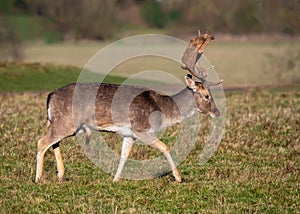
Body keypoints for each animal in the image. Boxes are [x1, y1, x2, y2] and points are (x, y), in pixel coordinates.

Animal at [36, 30, 221, 184]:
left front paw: (115, 180)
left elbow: (124, 155)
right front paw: (178, 177)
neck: (163, 110)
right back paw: (38, 178)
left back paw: (60, 175)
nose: (217, 112)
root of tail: (51, 95)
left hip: (68, 125)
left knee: (54, 143)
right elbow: (165, 147)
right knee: (42, 142)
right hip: (66, 121)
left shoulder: (129, 134)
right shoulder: (142, 128)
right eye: (207, 95)